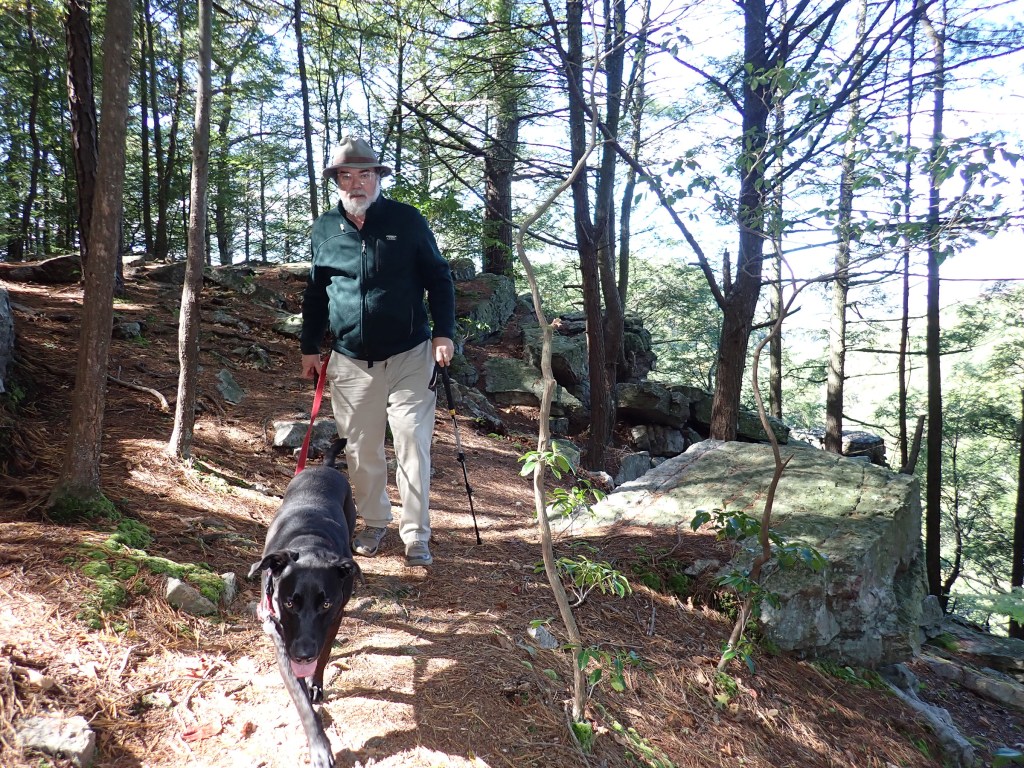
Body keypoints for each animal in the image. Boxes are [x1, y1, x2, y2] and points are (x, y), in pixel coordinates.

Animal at [247, 438, 360, 768]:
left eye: (325, 605)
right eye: (289, 603)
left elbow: (324, 656)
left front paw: (316, 684)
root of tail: (324, 467)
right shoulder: (279, 634)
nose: (303, 654)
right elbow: (299, 700)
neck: (309, 544)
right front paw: (319, 746)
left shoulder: (335, 618)